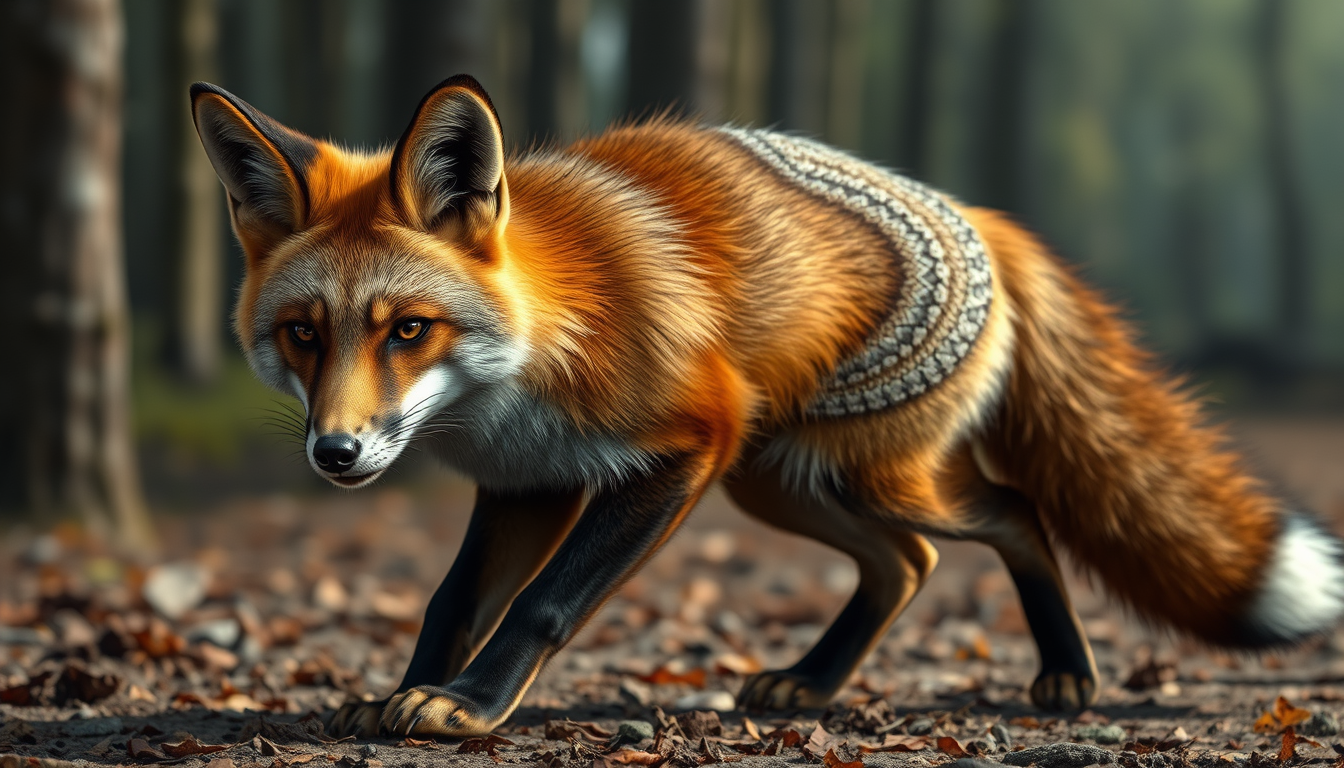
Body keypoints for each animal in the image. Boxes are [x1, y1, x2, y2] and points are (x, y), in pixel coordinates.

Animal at [190, 74, 1344, 738]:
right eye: (305, 334)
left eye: (407, 330)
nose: (337, 454)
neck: (547, 339)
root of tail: (983, 216)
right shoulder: (531, 482)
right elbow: (452, 602)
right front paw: (409, 691)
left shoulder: (676, 450)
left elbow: (543, 606)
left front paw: (469, 708)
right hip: (783, 484)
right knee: (907, 565)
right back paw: (814, 683)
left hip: (857, 474)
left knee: (1015, 515)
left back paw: (1065, 671)